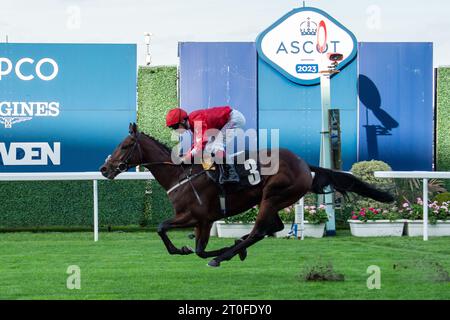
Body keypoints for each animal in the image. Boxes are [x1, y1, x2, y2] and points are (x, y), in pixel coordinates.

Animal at [101, 124, 394, 266]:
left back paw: (224, 256)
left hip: (273, 196)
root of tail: (304, 164)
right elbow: (197, 249)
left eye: (125, 145)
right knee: (271, 228)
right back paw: (236, 248)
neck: (180, 175)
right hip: (275, 200)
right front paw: (196, 248)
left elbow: (164, 229)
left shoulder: (195, 216)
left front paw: (186, 249)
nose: (105, 169)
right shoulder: (203, 221)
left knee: (259, 230)